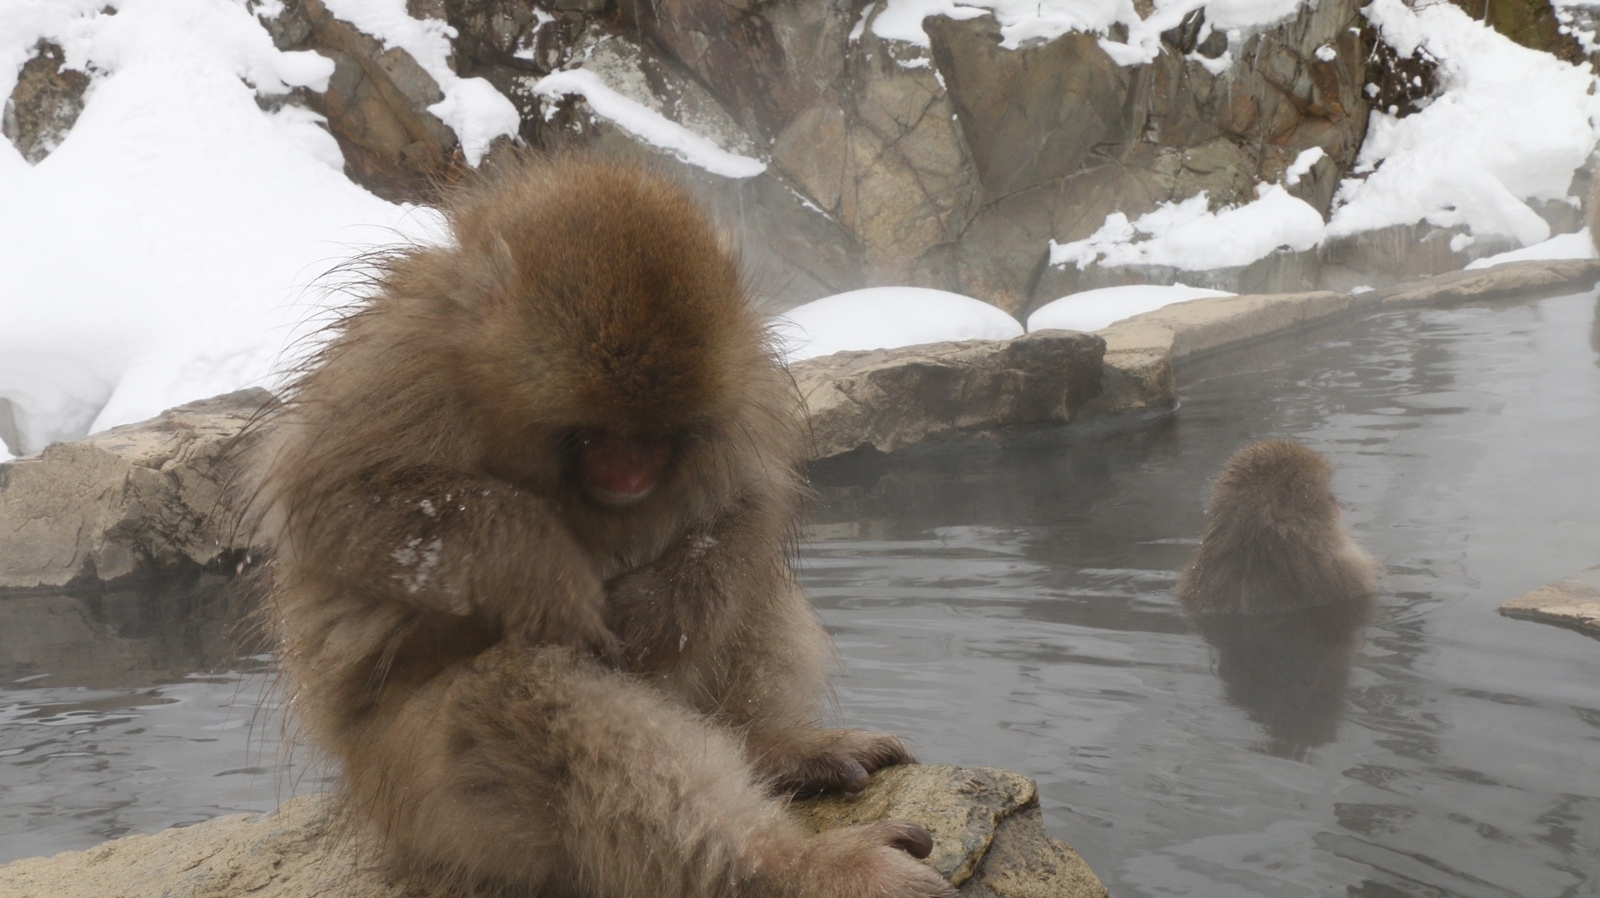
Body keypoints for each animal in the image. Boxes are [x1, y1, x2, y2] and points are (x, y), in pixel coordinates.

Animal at [249, 157, 947, 896]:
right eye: (595, 432)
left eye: (657, 432)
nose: (631, 470)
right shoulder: (398, 364)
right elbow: (338, 505)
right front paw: (542, 568)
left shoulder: (746, 370)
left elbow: (745, 507)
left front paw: (655, 608)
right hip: (431, 803)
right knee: (531, 692)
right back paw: (790, 866)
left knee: (745, 580)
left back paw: (770, 743)